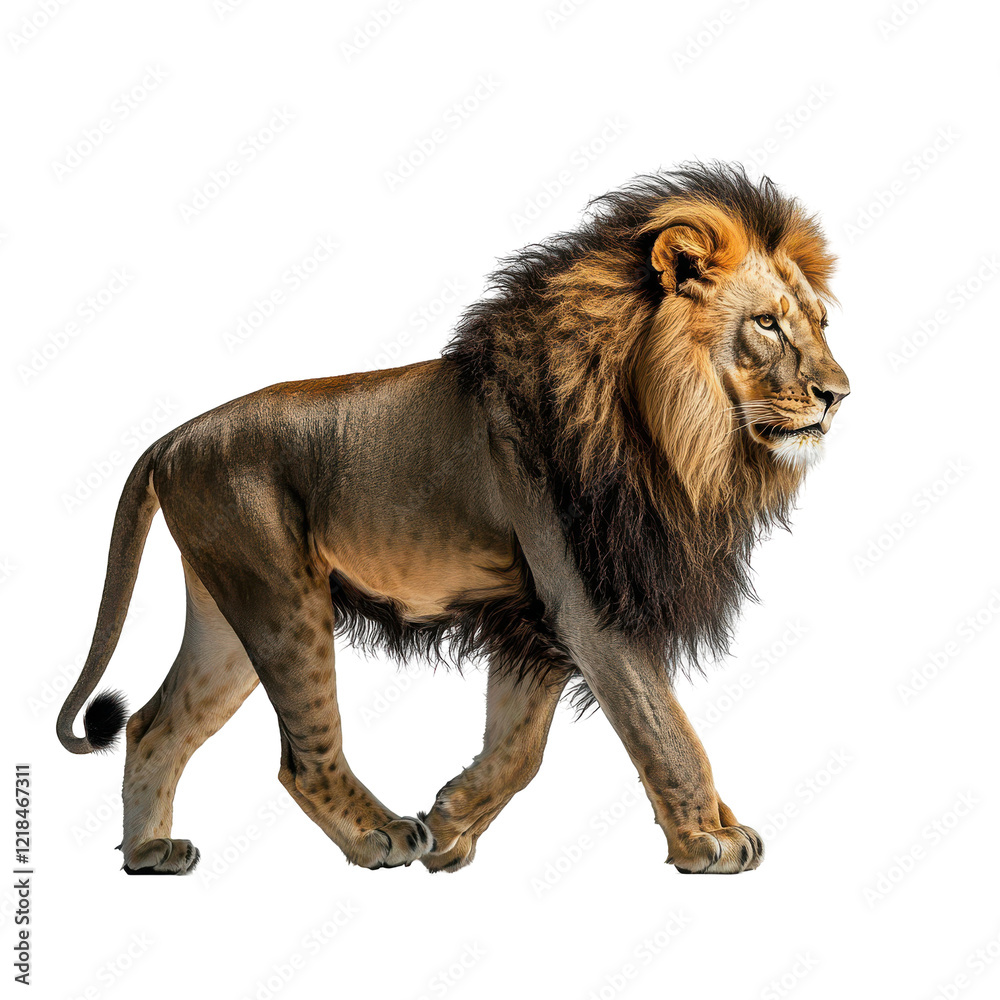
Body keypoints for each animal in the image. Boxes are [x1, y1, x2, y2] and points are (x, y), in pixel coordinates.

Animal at [58, 161, 848, 876]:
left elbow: (520, 747)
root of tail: (173, 439)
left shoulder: (533, 618)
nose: (839, 393)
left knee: (153, 725)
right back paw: (379, 836)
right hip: (281, 595)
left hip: (228, 614)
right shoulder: (589, 601)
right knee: (301, 756)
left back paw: (148, 854)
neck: (685, 438)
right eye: (767, 324)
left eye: (819, 324)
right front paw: (708, 840)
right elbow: (666, 730)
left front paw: (450, 823)